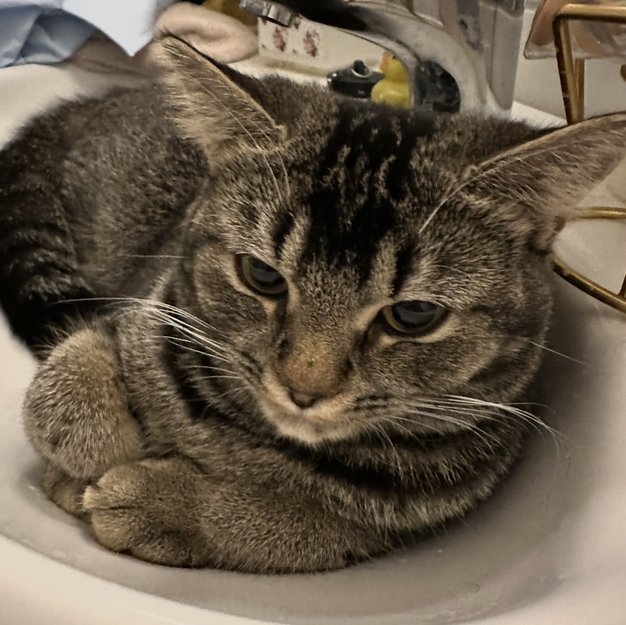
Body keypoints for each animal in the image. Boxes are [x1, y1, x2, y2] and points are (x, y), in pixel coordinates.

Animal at [1, 36, 625, 573]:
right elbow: (61, 386)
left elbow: (294, 525)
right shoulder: (144, 307)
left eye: (414, 315)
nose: (302, 388)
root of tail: (99, 100)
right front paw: (91, 454)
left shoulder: (408, 517)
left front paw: (160, 503)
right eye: (261, 276)